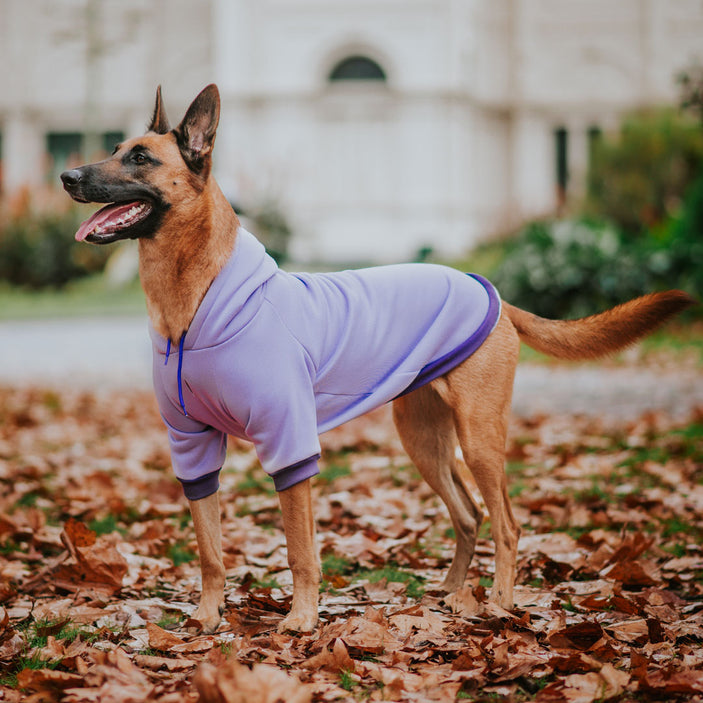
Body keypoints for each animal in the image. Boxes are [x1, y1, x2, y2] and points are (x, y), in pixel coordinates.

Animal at [62, 85, 700, 636]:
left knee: (507, 523)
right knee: (468, 514)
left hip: (479, 436)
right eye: (113, 148)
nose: (66, 176)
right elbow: (210, 548)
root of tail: (490, 290)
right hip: (422, 438)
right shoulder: (192, 449)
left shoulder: (290, 442)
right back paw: (453, 592)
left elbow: (300, 548)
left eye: (139, 157)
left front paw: (301, 618)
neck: (195, 306)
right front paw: (208, 615)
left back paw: (498, 602)